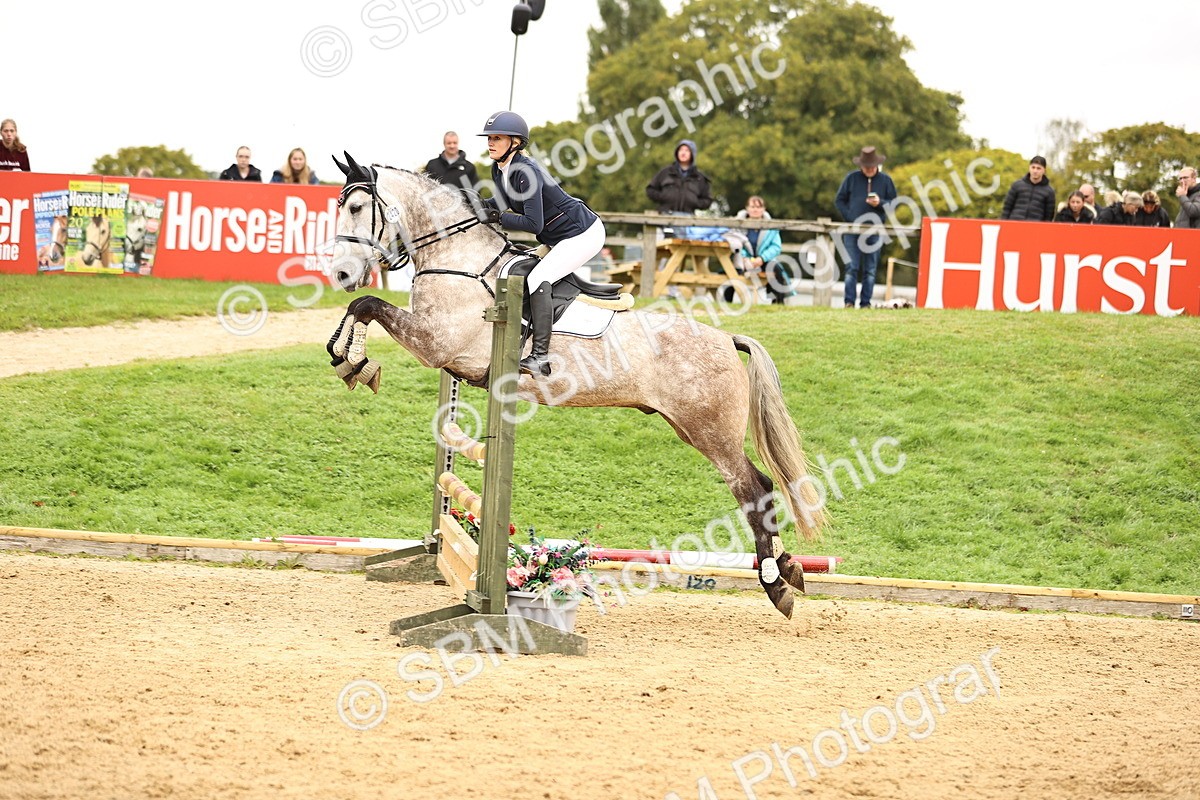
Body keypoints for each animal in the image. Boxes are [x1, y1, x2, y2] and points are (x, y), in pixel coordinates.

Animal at [325, 153, 828, 618]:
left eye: (356, 207)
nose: (341, 274)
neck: (460, 261)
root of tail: (727, 338)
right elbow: (360, 307)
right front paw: (348, 360)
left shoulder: (434, 343)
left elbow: (367, 304)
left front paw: (356, 363)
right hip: (689, 428)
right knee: (759, 487)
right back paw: (788, 571)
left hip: (712, 433)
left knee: (755, 488)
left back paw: (777, 583)